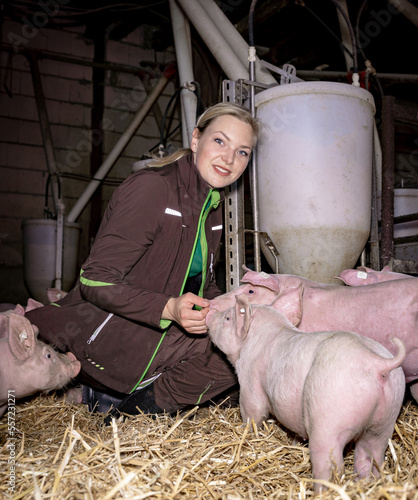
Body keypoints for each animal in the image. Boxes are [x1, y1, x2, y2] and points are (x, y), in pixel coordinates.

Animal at [206, 294, 404, 494]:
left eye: (228, 318)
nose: (209, 313)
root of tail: (377, 363)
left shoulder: (249, 382)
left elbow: (252, 413)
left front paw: (247, 433)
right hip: (385, 421)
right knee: (370, 456)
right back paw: (365, 483)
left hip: (329, 420)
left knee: (330, 465)